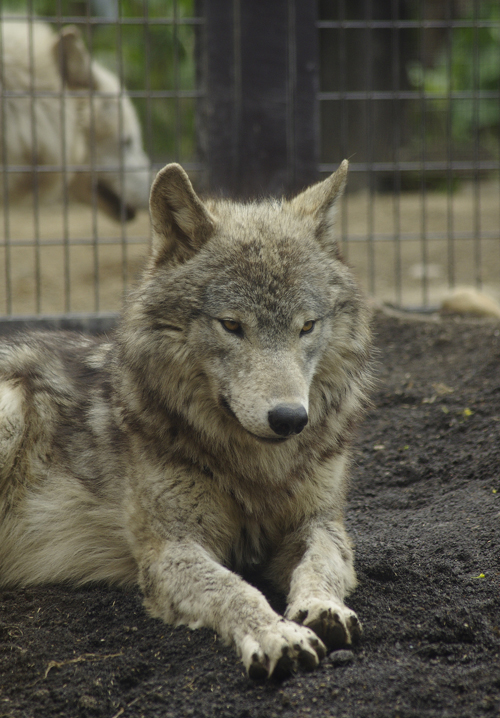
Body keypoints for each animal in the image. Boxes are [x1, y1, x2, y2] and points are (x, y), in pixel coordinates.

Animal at [0, 162, 372, 680]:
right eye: (232, 326)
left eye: (307, 326)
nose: (289, 419)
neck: (256, 470)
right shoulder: (170, 548)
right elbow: (235, 589)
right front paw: (275, 634)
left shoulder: (319, 522)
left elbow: (321, 563)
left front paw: (322, 607)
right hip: (9, 411)